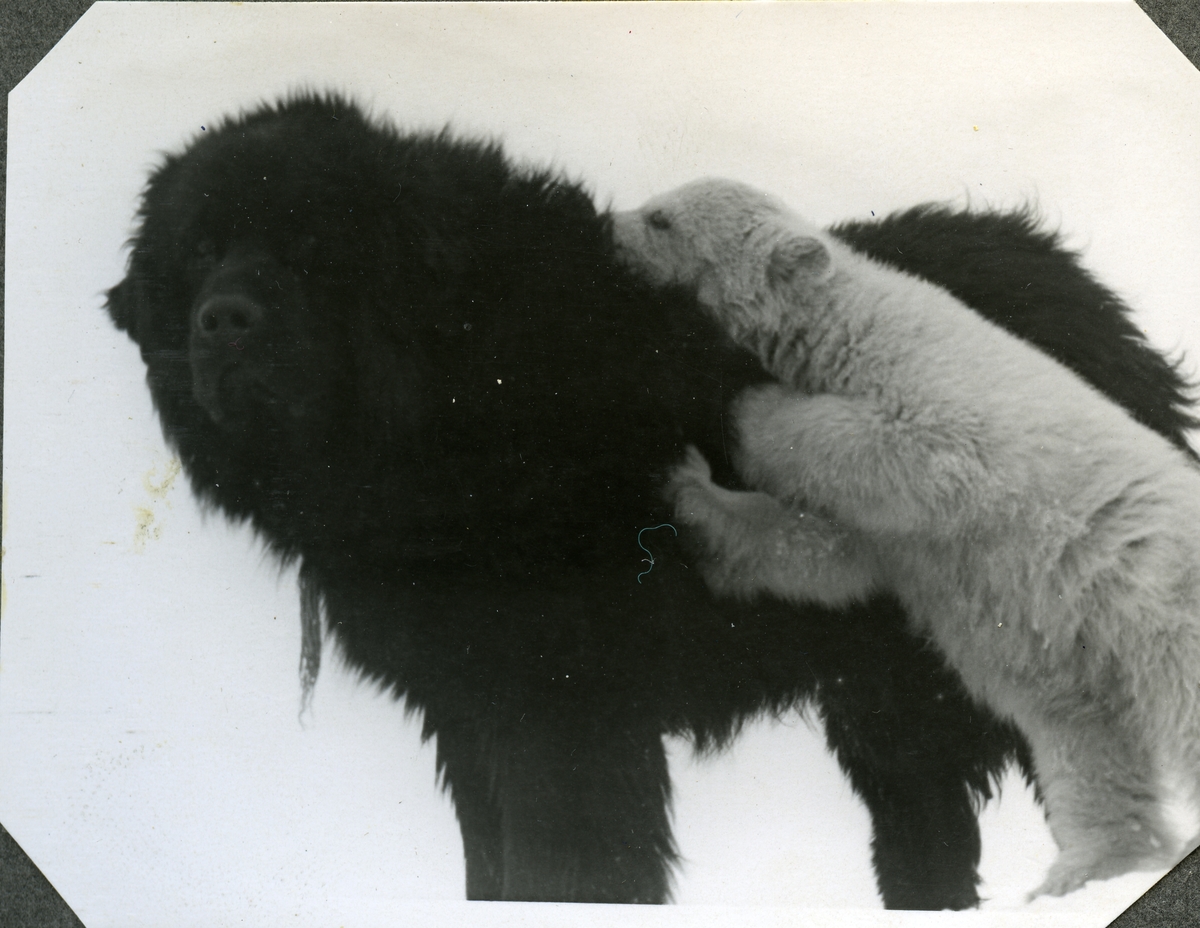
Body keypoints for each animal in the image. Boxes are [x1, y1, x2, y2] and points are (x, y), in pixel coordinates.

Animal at [108, 94, 1195, 902]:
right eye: (197, 254)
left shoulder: (564, 715)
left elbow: (568, 867)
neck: (460, 380)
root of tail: (1071, 276)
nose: (223, 321)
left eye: (315, 246)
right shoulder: (469, 708)